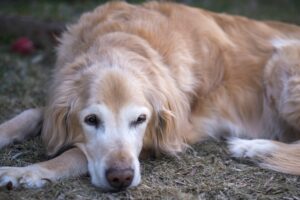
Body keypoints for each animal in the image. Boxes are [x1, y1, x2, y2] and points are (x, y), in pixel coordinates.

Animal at [0, 1, 300, 191]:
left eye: (140, 119)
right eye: (91, 120)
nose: (121, 178)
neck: (122, 40)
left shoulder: (167, 134)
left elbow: (75, 154)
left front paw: (28, 171)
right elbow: (32, 113)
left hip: (281, 63)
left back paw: (254, 148)